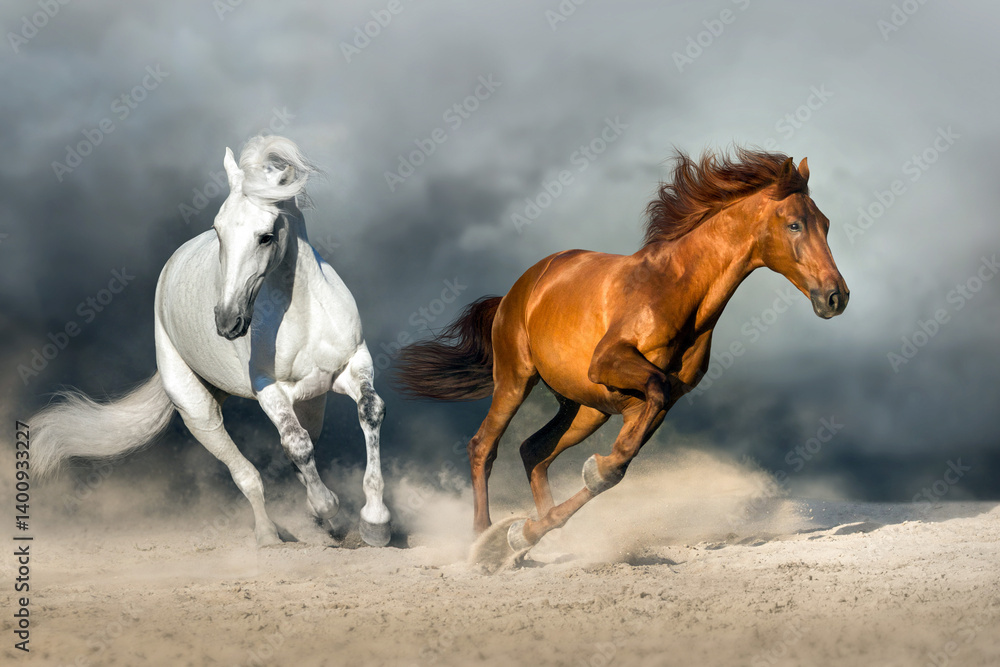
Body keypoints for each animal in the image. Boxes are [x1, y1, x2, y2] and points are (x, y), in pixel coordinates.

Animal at [31, 135, 392, 547]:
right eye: (218, 230)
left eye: (266, 236)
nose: (227, 321)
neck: (303, 313)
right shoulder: (269, 390)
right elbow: (296, 444)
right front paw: (329, 509)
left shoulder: (352, 364)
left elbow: (369, 411)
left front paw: (375, 523)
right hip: (197, 411)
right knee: (249, 474)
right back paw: (269, 535)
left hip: (311, 401)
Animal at [394, 148, 848, 565]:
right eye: (794, 224)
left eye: (826, 224)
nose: (836, 297)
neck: (677, 289)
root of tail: (516, 291)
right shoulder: (611, 364)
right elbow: (648, 398)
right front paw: (523, 529)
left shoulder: (649, 404)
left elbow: (619, 465)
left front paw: (528, 530)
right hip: (515, 380)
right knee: (483, 447)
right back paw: (481, 541)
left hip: (585, 408)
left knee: (533, 451)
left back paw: (532, 542)